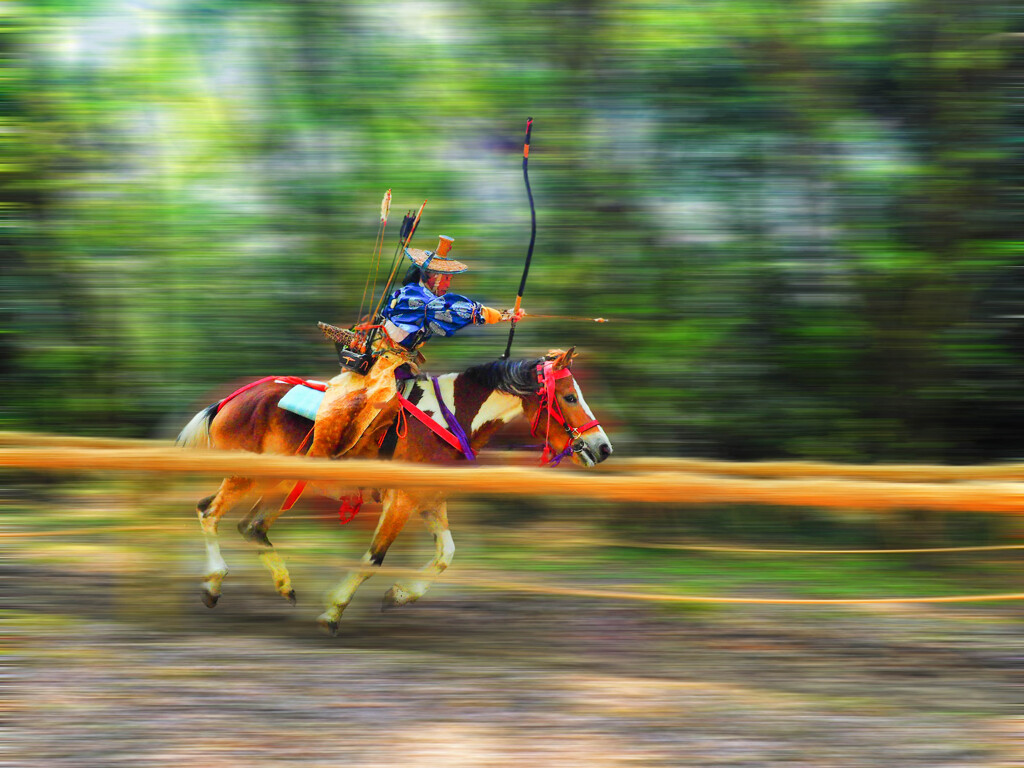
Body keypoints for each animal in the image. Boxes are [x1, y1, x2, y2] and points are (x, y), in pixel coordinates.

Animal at [177, 350, 610, 638]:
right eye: (570, 397)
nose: (602, 447)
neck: (448, 417)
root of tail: (231, 399)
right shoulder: (400, 500)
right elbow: (374, 558)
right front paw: (333, 610)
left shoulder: (429, 498)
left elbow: (446, 555)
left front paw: (400, 594)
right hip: (246, 476)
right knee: (208, 512)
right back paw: (213, 583)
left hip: (281, 486)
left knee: (250, 526)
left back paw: (284, 585)